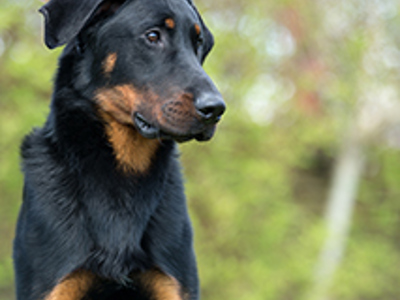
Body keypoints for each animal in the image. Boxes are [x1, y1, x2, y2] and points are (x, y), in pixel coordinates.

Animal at [13, 0, 225, 298]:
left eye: (198, 43)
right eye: (152, 36)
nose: (215, 109)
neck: (124, 172)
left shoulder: (173, 285)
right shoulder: (53, 286)